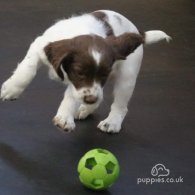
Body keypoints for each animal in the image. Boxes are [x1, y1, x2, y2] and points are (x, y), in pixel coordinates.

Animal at [0, 9, 171, 133]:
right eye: (80, 72)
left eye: (104, 74)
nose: (89, 99)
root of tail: (137, 33)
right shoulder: (39, 46)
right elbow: (27, 69)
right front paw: (11, 90)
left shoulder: (79, 85)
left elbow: (71, 95)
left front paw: (64, 117)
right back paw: (85, 109)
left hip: (127, 77)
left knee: (120, 105)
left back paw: (111, 122)